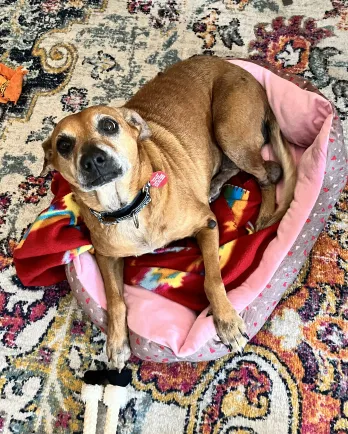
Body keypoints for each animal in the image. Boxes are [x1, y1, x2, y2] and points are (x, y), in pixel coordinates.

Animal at [41, 55, 296, 370]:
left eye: (109, 125)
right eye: (64, 144)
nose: (93, 159)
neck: (128, 209)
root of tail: (242, 70)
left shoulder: (207, 224)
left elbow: (213, 280)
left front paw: (226, 322)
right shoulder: (106, 256)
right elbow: (115, 299)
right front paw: (116, 342)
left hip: (229, 131)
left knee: (269, 174)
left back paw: (263, 216)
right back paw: (215, 186)